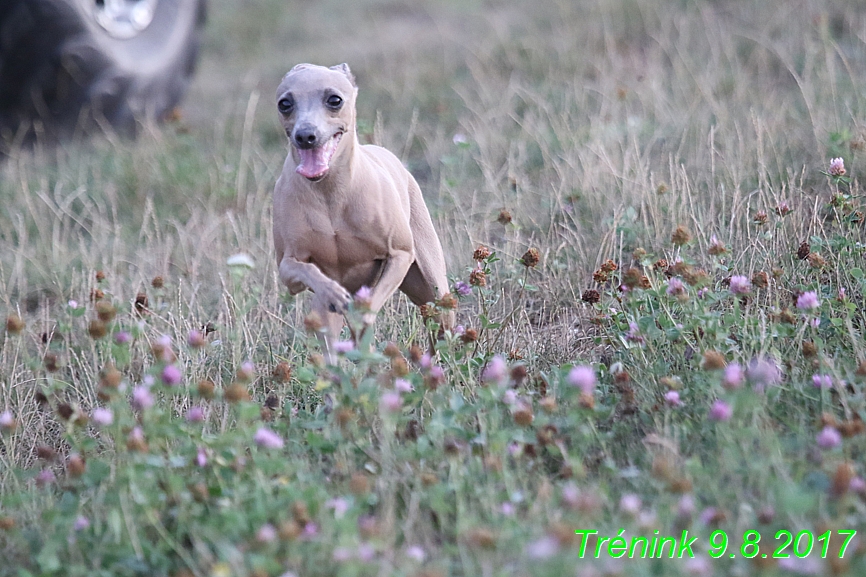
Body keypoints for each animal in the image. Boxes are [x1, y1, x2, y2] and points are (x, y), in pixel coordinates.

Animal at [272, 63, 452, 360]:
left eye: (334, 100)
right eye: (284, 104)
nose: (305, 135)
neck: (330, 193)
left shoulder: (400, 255)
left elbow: (371, 305)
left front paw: (361, 316)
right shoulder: (288, 271)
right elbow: (304, 270)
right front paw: (333, 293)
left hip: (433, 289)